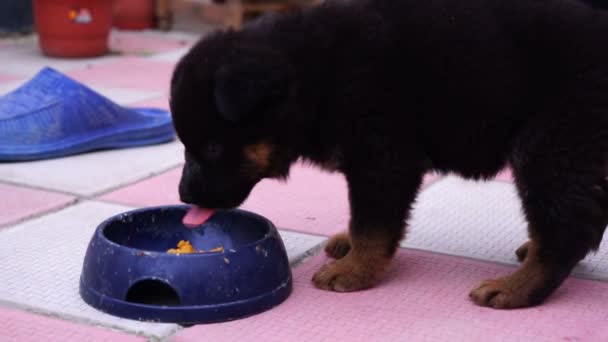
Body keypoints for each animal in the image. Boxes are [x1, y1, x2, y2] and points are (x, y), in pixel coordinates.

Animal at [170, 0, 608, 310]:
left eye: (212, 147)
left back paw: (516, 288)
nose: (184, 196)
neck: (316, 76)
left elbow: (372, 224)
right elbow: (362, 219)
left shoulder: (382, 160)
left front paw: (355, 270)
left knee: (566, 229)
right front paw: (349, 246)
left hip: (552, 145)